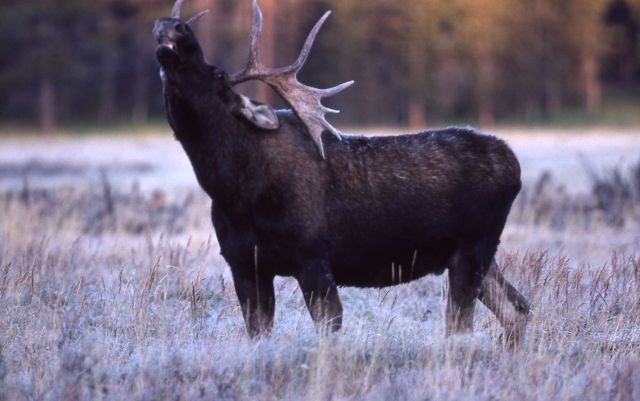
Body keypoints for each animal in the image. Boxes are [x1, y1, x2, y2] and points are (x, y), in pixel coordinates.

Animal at [154, 0, 528, 344]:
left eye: (216, 72)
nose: (172, 26)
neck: (237, 194)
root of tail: (514, 166)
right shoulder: (245, 265)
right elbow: (258, 333)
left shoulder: (313, 257)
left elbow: (328, 328)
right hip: (477, 255)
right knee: (517, 308)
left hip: (473, 248)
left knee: (463, 325)